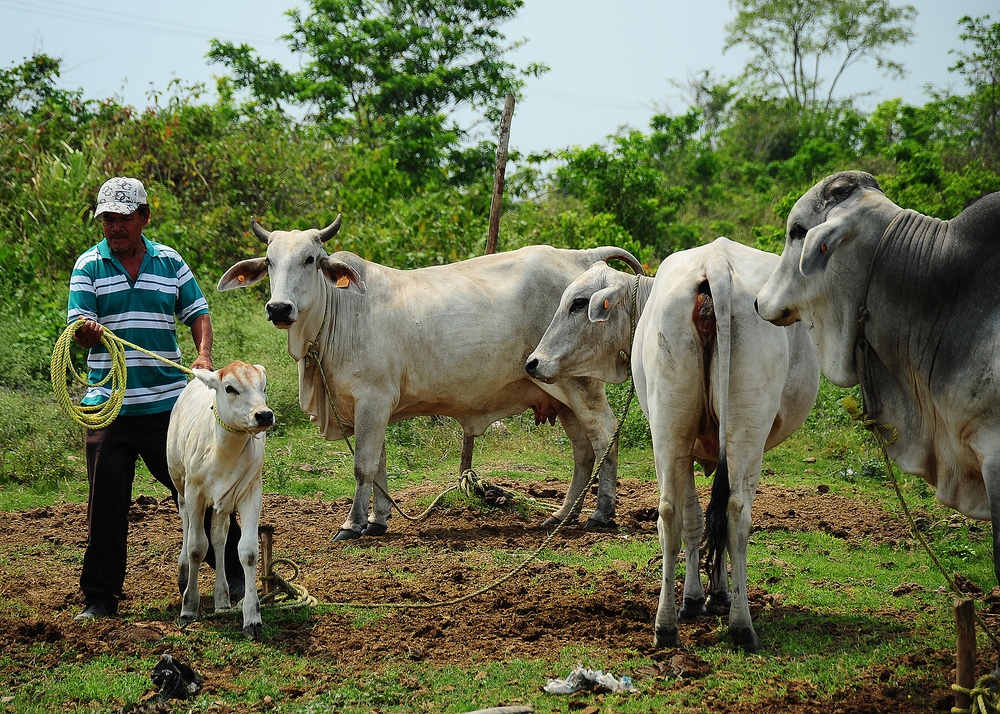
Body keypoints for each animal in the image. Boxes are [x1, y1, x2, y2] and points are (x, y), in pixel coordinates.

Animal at [168, 358, 276, 636]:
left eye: (263, 386)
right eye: (230, 388)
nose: (263, 415)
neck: (223, 451)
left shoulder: (250, 493)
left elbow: (247, 551)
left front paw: (252, 617)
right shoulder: (194, 494)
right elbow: (196, 548)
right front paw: (188, 608)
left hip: (222, 506)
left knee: (218, 537)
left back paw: (222, 599)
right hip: (180, 485)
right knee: (187, 527)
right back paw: (184, 574)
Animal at [218, 217, 640, 540]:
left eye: (309, 259)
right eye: (269, 261)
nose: (279, 308)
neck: (338, 314)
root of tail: (581, 256)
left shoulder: (372, 400)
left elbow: (364, 465)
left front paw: (352, 525)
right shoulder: (371, 407)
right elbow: (380, 465)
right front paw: (378, 521)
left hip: (581, 384)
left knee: (604, 434)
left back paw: (600, 515)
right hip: (559, 391)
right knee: (583, 451)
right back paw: (562, 515)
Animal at [528, 236, 816, 648]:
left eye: (579, 303)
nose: (533, 363)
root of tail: (715, 266)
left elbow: (701, 518)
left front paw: (708, 596)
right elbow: (702, 518)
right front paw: (707, 597)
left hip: (674, 426)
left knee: (686, 512)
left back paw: (680, 625)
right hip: (723, 429)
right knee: (725, 513)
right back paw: (725, 624)